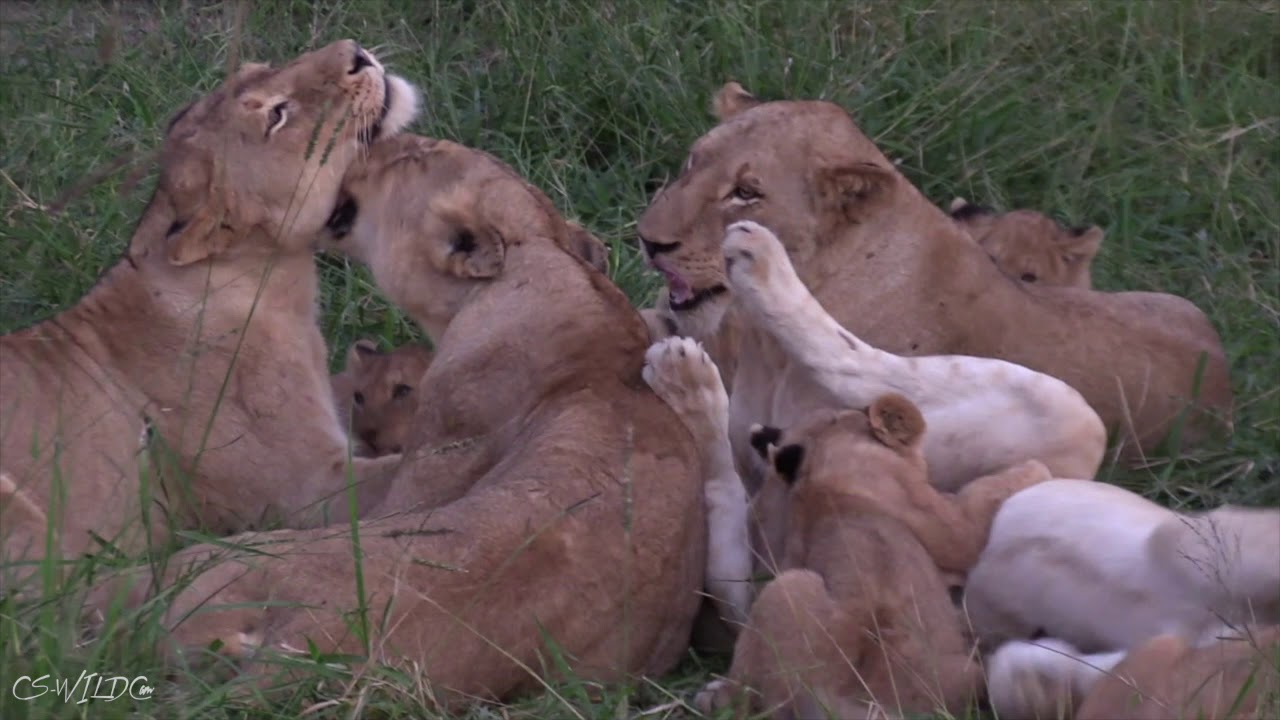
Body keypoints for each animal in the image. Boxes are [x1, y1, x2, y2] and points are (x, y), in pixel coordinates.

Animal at [694, 393, 1054, 719]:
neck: (822, 462)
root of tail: (827, 701)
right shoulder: (954, 527)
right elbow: (990, 492)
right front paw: (1038, 467)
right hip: (793, 588)